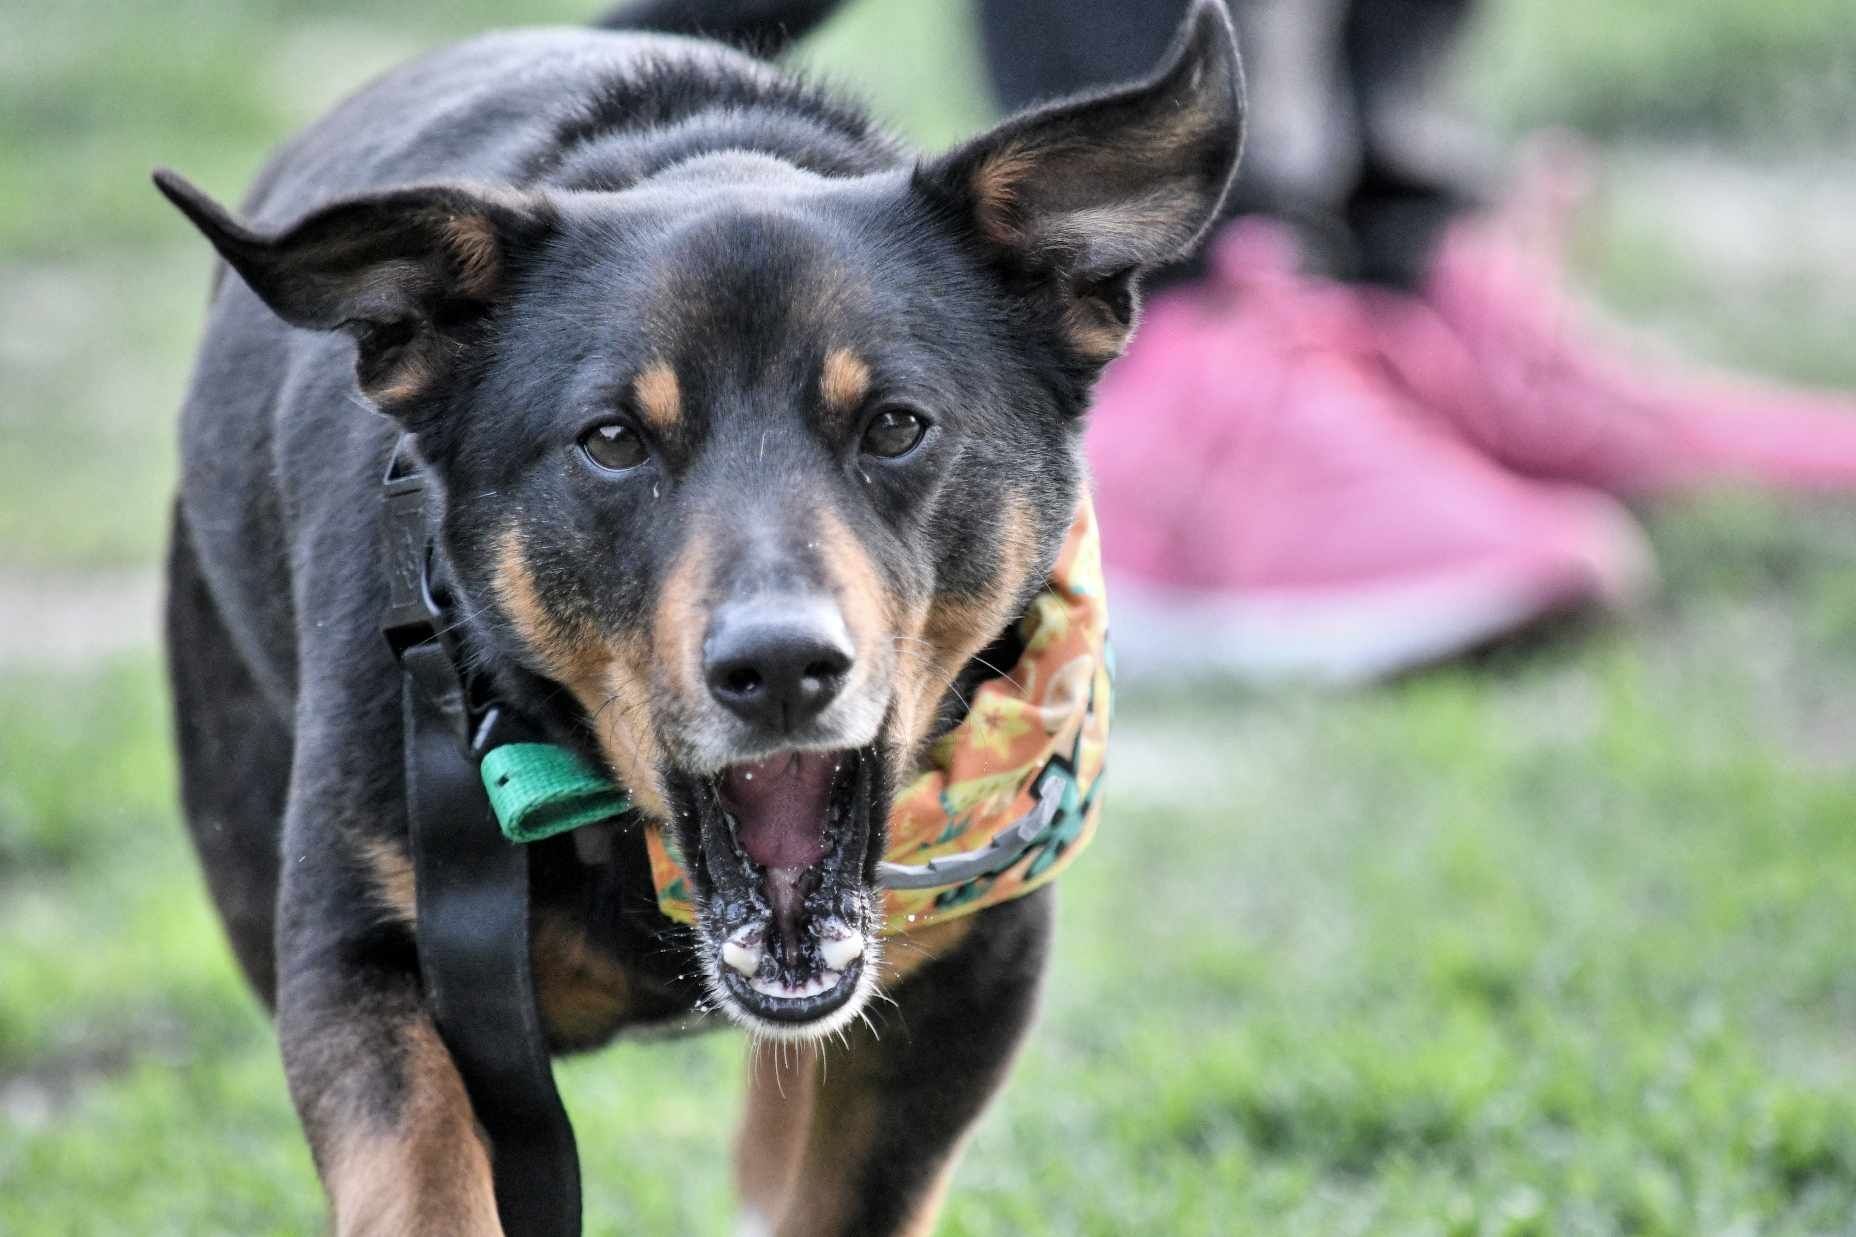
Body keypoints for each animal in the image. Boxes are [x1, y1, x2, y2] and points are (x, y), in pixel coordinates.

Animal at [152, 2, 1239, 1225]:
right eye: (613, 440)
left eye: (896, 424)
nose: (781, 664)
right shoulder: (357, 962)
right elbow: (419, 1180)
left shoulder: (974, 971)